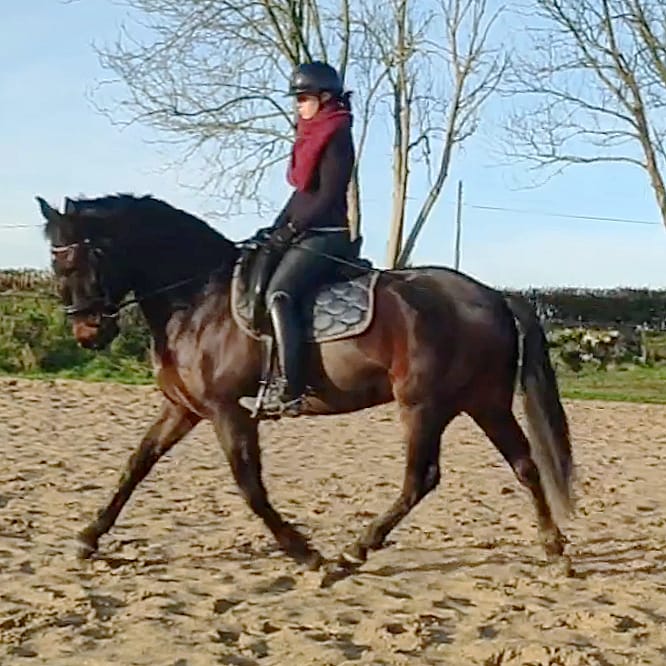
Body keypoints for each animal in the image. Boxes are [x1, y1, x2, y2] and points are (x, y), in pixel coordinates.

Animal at [36, 193, 574, 586]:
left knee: (421, 479)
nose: (87, 333)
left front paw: (306, 554)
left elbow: (250, 487)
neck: (198, 299)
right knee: (525, 465)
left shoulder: (227, 411)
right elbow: (135, 466)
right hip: (484, 403)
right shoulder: (184, 408)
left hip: (424, 404)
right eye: (55, 266)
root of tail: (493, 296)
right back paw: (554, 548)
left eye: (78, 262)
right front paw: (87, 538)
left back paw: (354, 551)